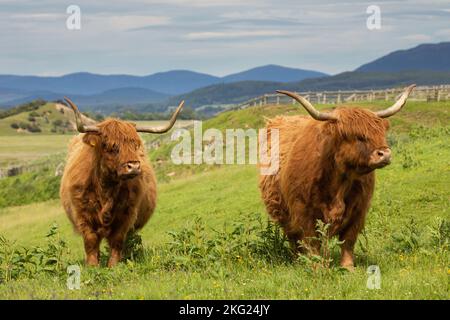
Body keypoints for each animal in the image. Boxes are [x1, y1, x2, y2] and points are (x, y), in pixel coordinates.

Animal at [60, 98, 184, 268]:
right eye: (111, 146)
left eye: (135, 144)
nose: (134, 166)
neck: (106, 189)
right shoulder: (83, 215)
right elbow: (90, 241)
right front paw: (92, 266)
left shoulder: (126, 215)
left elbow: (117, 241)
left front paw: (113, 266)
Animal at [260, 85, 414, 270]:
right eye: (358, 136)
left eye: (380, 132)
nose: (385, 154)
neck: (339, 182)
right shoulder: (302, 210)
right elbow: (312, 241)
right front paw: (317, 267)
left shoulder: (359, 210)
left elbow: (348, 240)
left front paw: (348, 267)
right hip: (282, 211)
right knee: (293, 239)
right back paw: (298, 261)